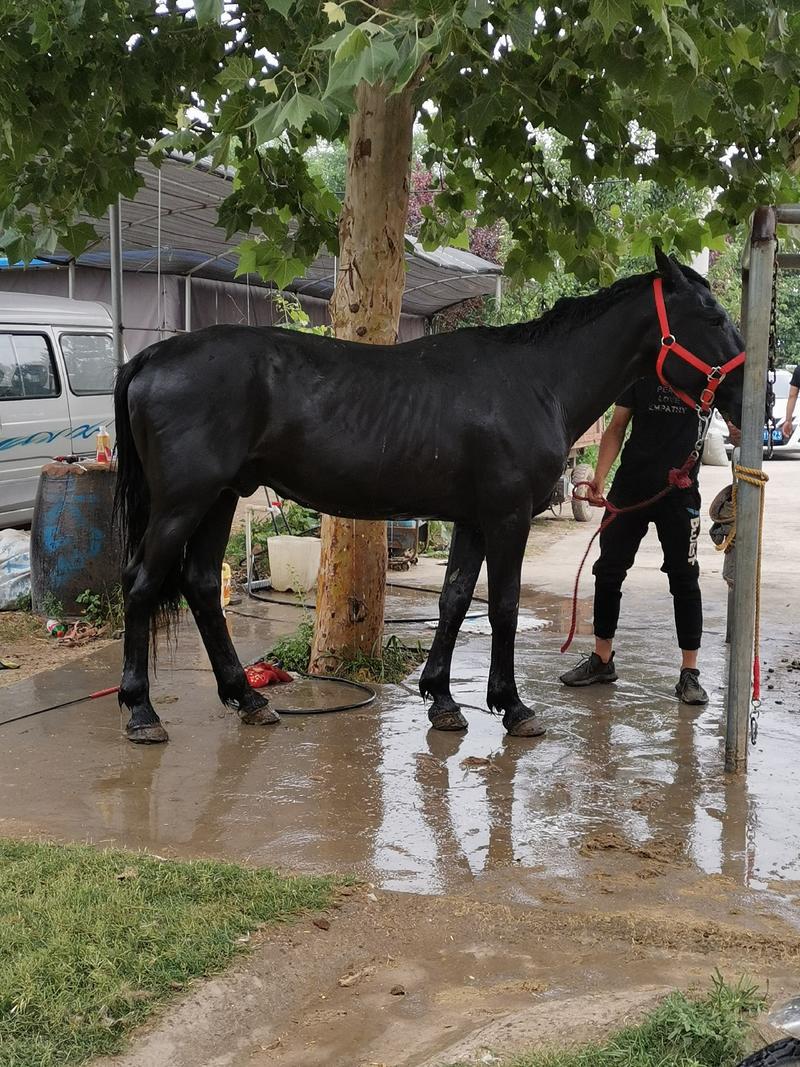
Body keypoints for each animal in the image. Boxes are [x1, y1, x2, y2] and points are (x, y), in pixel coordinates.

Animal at [113, 253, 746, 746]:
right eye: (712, 316)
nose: (746, 395)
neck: (537, 382)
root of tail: (151, 357)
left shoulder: (473, 520)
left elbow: (455, 599)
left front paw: (441, 700)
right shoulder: (507, 518)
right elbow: (503, 606)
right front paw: (513, 706)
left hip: (219, 498)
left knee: (199, 584)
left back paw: (247, 698)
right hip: (182, 503)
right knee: (142, 583)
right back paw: (141, 712)